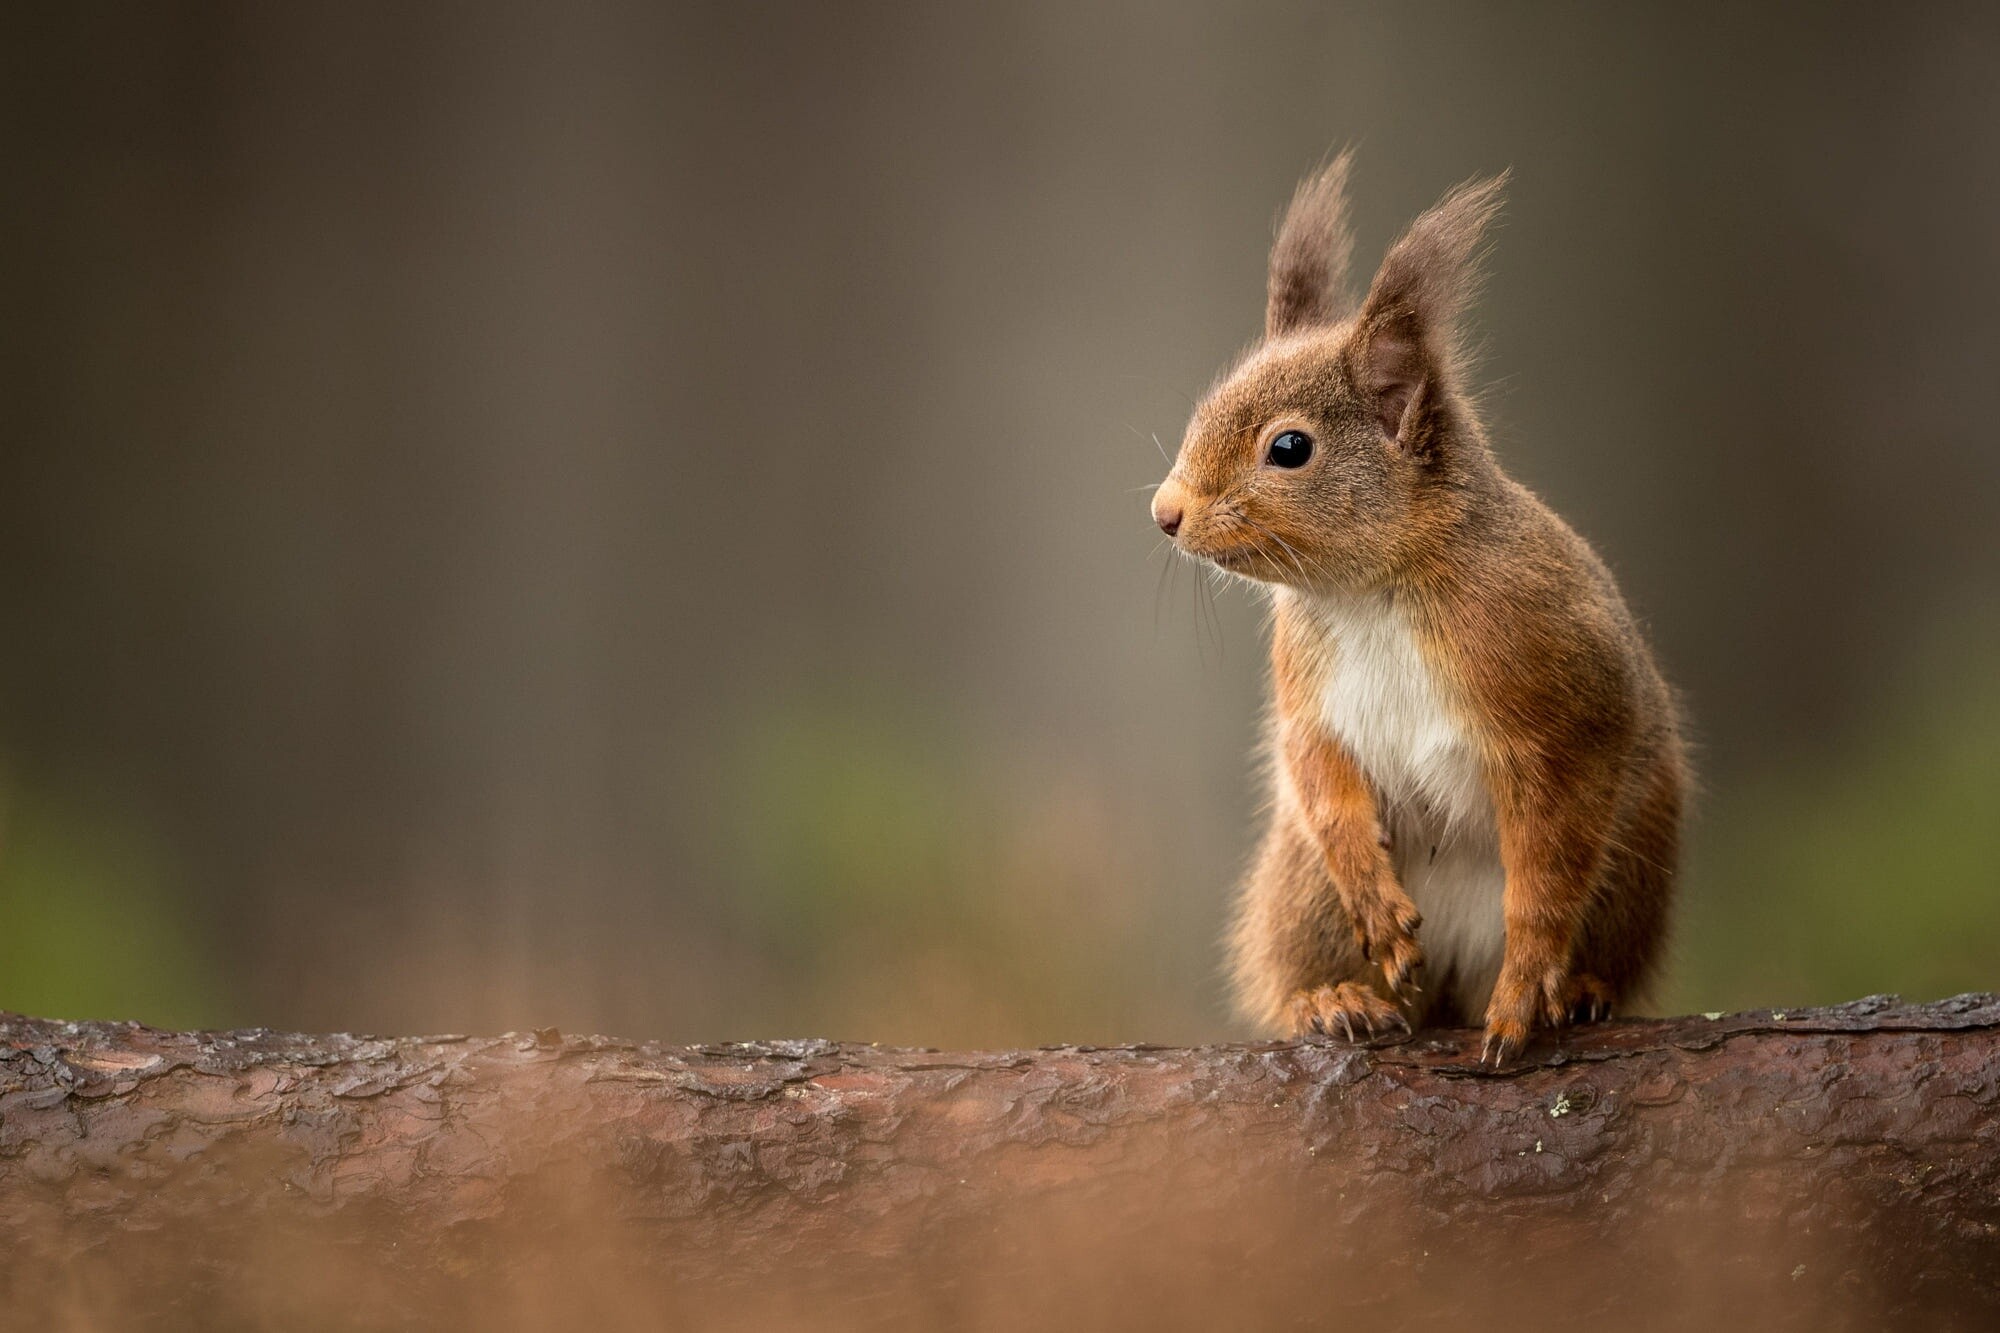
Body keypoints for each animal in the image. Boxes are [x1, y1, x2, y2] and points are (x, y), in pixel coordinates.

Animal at [1150, 152, 1686, 1063]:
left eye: (1289, 447)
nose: (1166, 511)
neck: (1374, 590)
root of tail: (1449, 988)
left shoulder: (1558, 712)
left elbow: (1548, 867)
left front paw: (1527, 991)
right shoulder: (1309, 691)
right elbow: (1321, 777)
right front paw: (1374, 910)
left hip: (1635, 860)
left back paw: (1576, 989)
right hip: (1302, 891)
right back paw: (1334, 999)